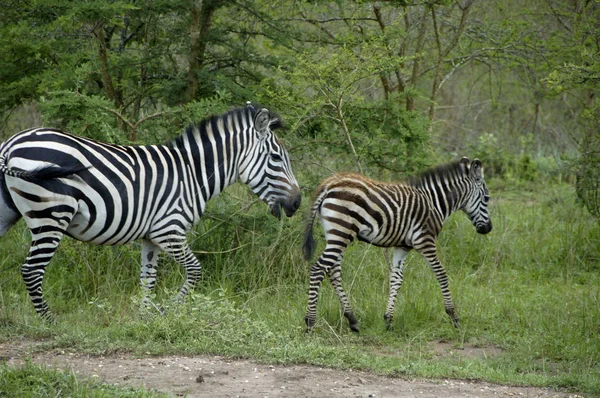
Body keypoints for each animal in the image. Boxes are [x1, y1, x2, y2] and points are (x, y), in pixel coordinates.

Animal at [0, 103, 300, 320]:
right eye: (276, 158)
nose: (297, 202)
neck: (192, 174)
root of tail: (11, 143)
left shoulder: (151, 238)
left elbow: (148, 279)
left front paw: (144, 318)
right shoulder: (170, 230)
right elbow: (195, 270)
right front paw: (170, 311)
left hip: (10, 212)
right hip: (50, 214)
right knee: (32, 270)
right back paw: (49, 321)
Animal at [302, 158, 490, 332]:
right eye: (487, 199)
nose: (488, 229)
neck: (434, 203)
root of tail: (328, 184)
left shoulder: (402, 247)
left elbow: (396, 279)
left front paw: (389, 320)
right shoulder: (425, 240)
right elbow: (441, 274)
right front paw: (453, 316)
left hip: (337, 234)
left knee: (333, 272)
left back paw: (352, 319)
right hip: (341, 231)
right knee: (319, 269)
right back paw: (310, 322)